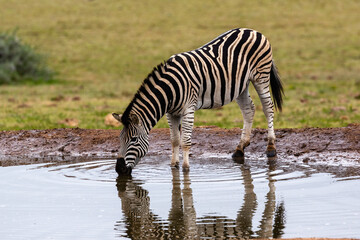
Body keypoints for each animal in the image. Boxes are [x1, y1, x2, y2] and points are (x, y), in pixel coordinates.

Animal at [112, 28, 284, 174]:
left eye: (133, 140)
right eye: (120, 138)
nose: (119, 169)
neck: (169, 91)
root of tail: (253, 31)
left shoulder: (188, 109)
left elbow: (185, 141)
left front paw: (186, 168)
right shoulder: (171, 113)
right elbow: (174, 140)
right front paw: (173, 165)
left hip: (261, 76)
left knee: (267, 107)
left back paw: (271, 147)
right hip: (241, 85)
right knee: (249, 109)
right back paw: (240, 149)